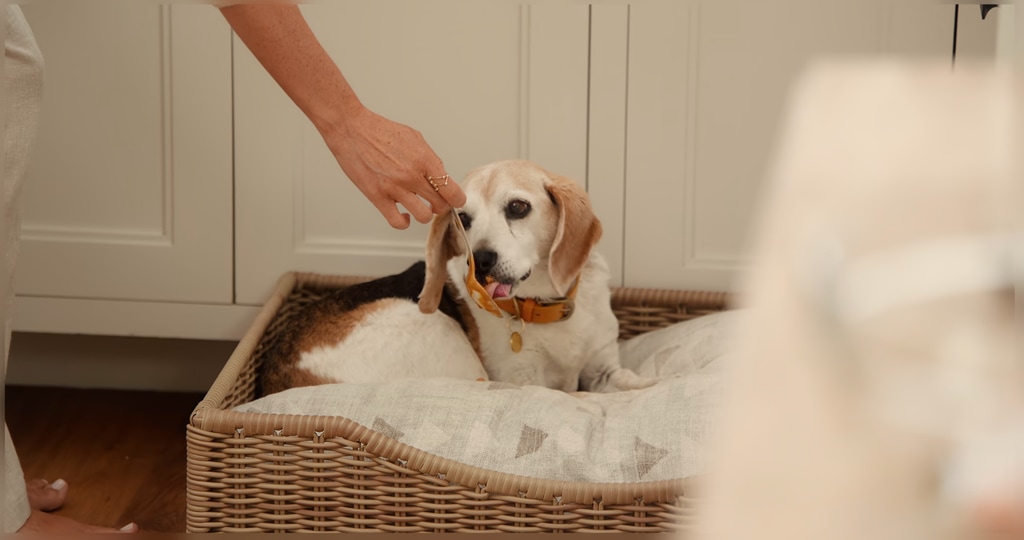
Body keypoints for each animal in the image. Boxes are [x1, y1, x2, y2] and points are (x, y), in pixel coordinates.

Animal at [256, 158, 655, 395]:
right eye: (463, 219)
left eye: (518, 207)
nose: (482, 259)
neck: (543, 305)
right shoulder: (525, 381)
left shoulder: (602, 368)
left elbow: (630, 382)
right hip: (436, 328)